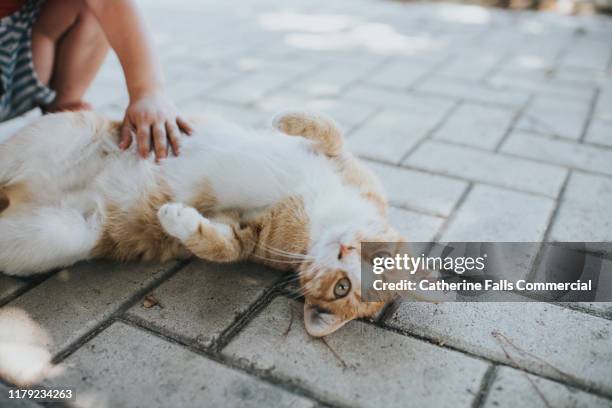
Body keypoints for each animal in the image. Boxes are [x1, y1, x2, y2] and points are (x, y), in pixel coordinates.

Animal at [1, 110, 406, 336]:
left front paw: (175, 218)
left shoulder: (245, 232)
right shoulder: (341, 160)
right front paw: (286, 119)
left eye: (341, 289)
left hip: (58, 236)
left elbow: (220, 245)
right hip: (56, 136)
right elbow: (329, 129)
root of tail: (23, 189)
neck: (320, 218)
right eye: (379, 259)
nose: (343, 249)